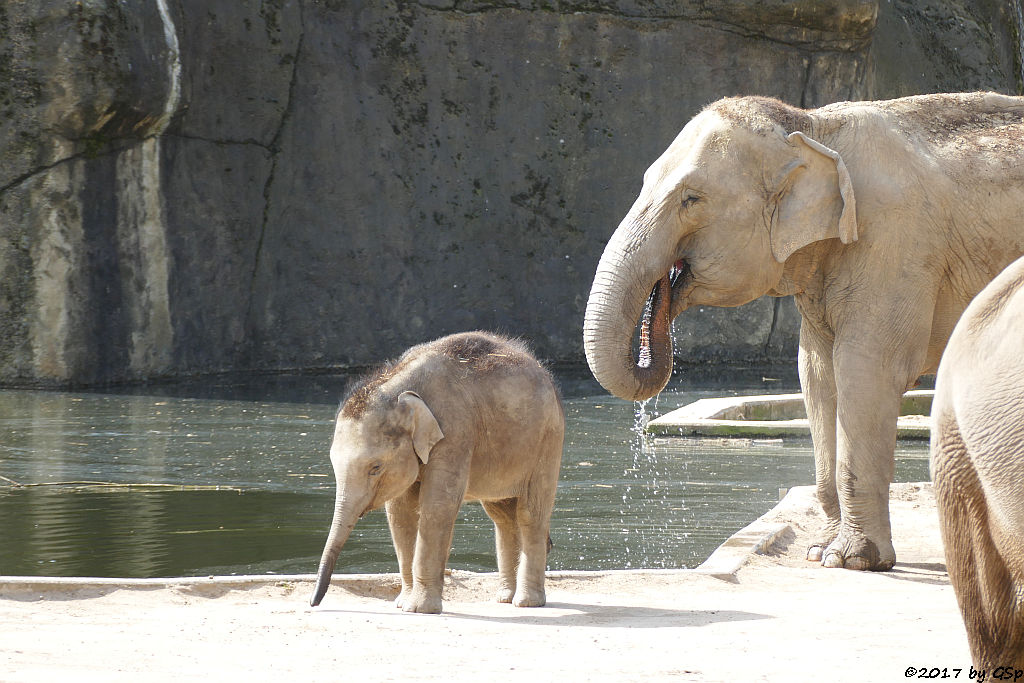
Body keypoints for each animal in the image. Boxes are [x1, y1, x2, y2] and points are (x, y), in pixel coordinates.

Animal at [311, 331, 569, 614]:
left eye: (375, 468)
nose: (313, 603)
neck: (398, 385)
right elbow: (400, 513)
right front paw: (402, 604)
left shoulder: (455, 432)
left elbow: (437, 507)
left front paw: (419, 609)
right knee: (501, 515)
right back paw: (504, 598)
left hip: (548, 440)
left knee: (529, 513)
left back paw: (526, 603)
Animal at [581, 92, 1024, 573]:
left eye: (691, 198)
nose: (664, 285)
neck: (812, 128)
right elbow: (816, 375)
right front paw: (819, 552)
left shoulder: (895, 244)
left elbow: (866, 371)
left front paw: (852, 560)